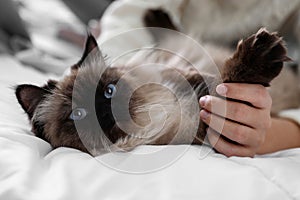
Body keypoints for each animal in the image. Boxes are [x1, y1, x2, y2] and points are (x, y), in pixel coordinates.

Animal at [15, 9, 294, 156]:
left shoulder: (187, 79)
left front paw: (260, 53)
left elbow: (219, 80)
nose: (104, 110)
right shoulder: (198, 130)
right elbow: (225, 85)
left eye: (109, 91)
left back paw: (154, 15)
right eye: (78, 114)